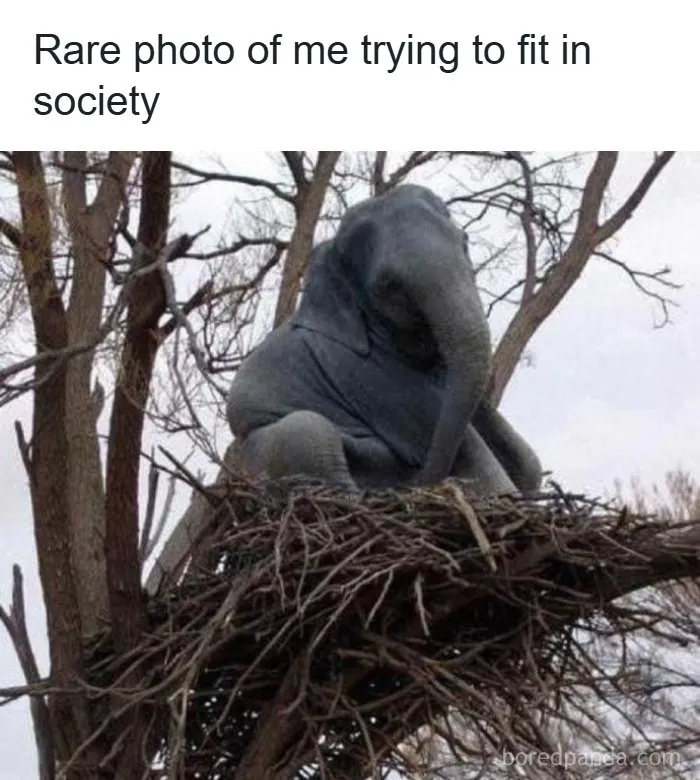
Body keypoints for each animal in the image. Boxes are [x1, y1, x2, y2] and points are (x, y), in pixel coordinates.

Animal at [226, 184, 542, 496]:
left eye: (465, 243)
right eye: (388, 285)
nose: (425, 482)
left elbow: (529, 463)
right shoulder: (364, 374)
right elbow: (479, 463)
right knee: (311, 431)